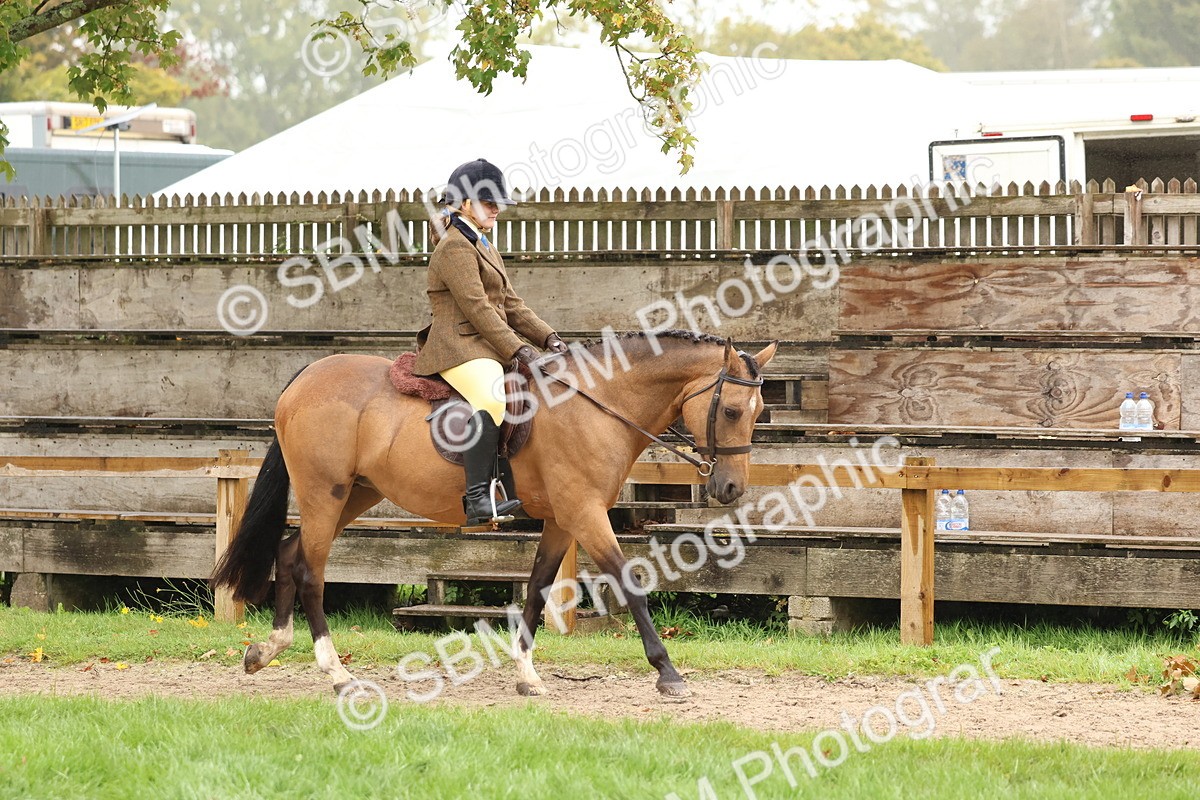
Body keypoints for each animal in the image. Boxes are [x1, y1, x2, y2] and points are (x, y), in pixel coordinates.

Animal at [212, 330, 777, 698]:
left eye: (758, 413)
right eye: (731, 411)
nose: (730, 488)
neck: (596, 402)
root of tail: (306, 376)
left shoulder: (562, 519)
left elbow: (538, 588)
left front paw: (526, 674)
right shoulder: (586, 514)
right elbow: (629, 583)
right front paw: (668, 674)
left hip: (353, 494)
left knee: (290, 554)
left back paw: (268, 649)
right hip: (324, 493)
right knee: (311, 571)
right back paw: (338, 674)